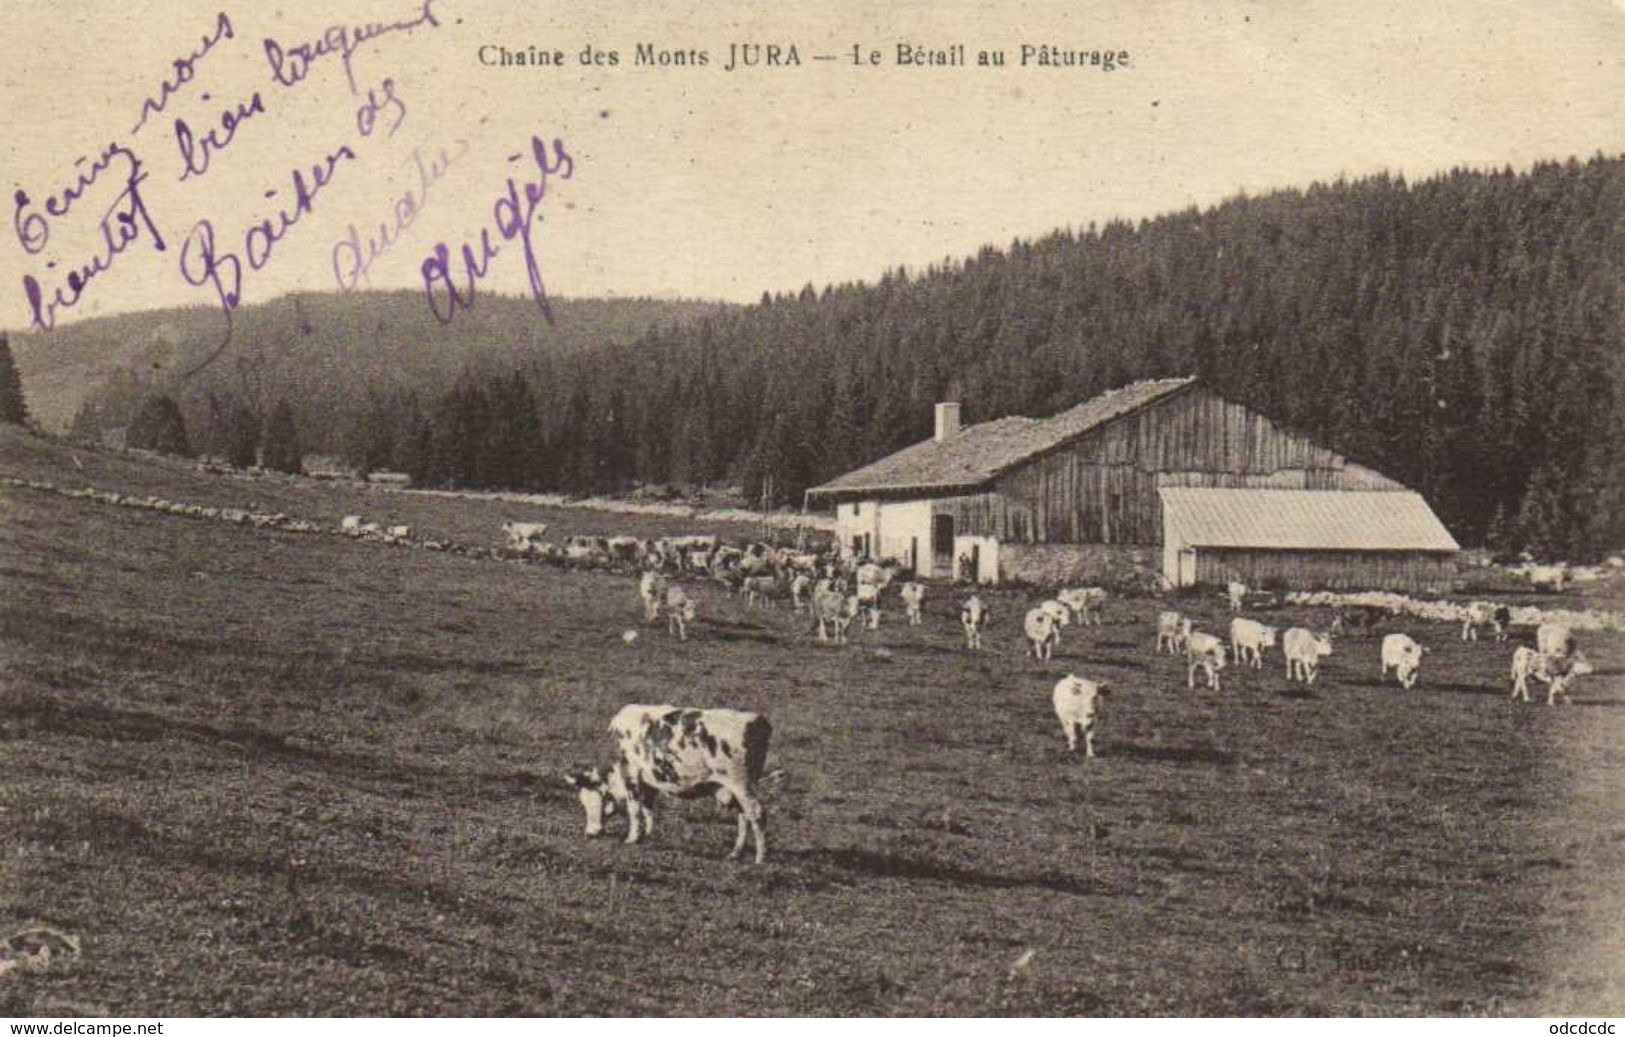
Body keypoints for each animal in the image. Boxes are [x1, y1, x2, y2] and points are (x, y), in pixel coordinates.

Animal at [568, 702, 770, 864]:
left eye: (589, 802)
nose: (589, 833)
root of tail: (757, 720)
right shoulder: (649, 780)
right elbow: (648, 808)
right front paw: (647, 834)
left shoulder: (631, 773)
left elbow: (634, 809)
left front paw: (632, 838)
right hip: (735, 789)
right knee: (743, 816)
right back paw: (735, 853)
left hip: (742, 784)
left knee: (757, 814)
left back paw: (760, 858)